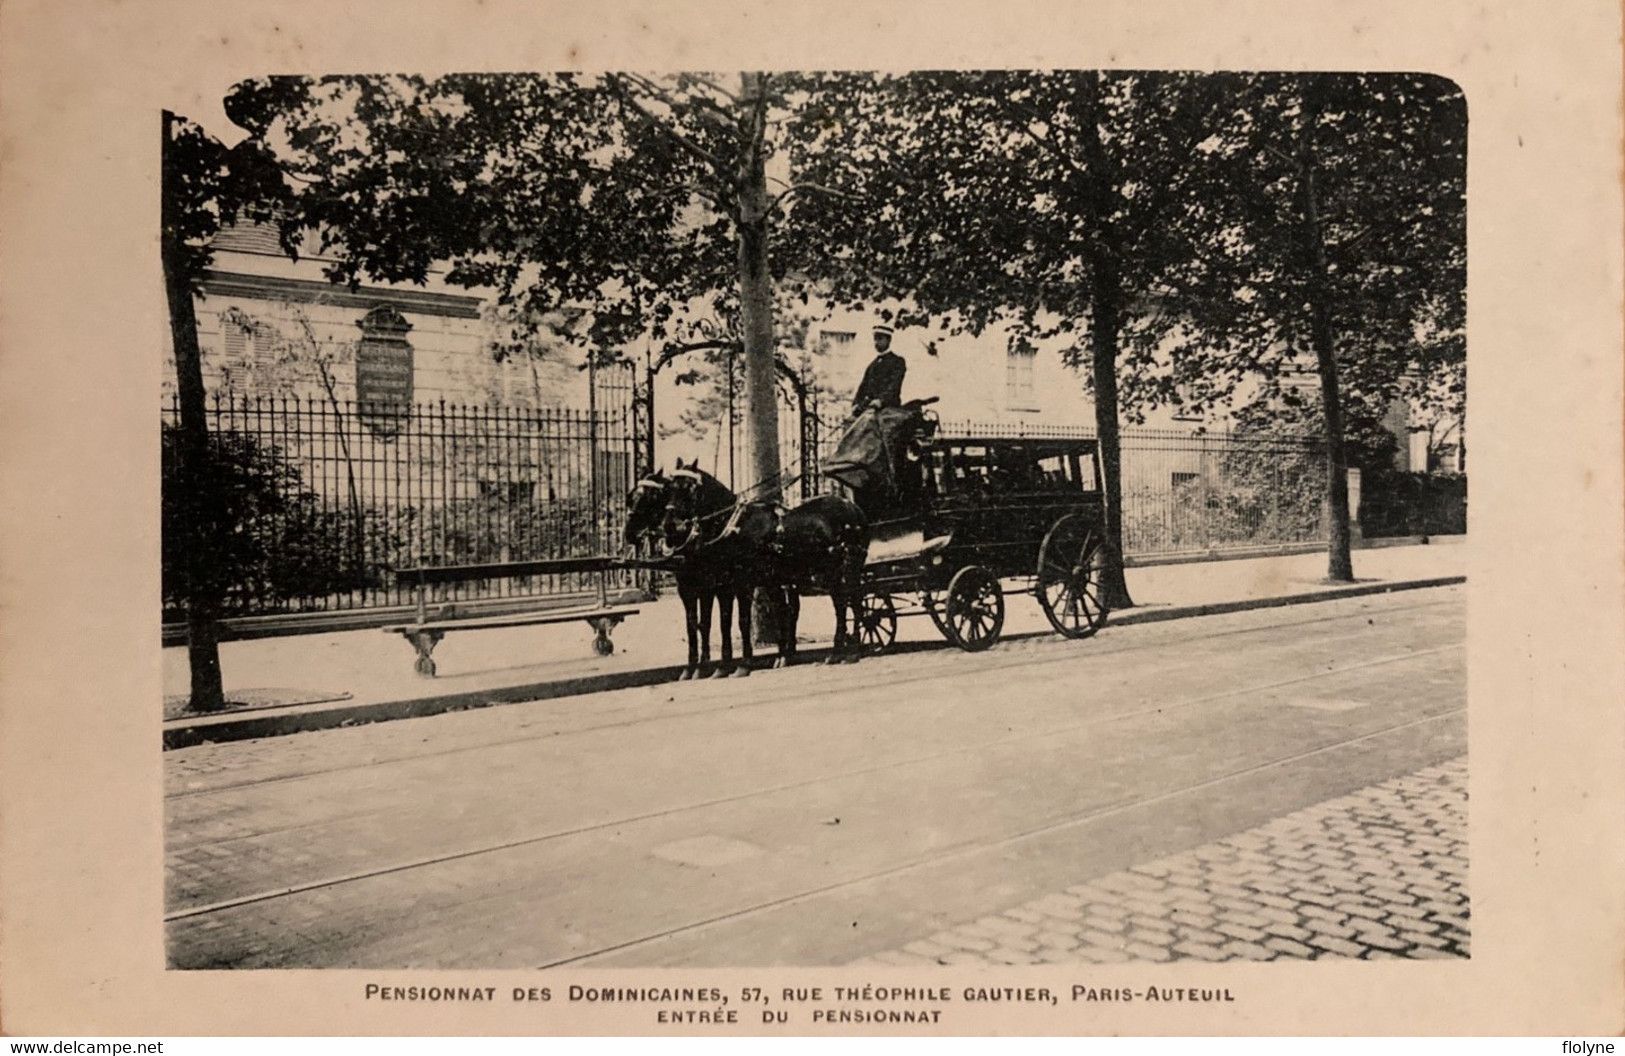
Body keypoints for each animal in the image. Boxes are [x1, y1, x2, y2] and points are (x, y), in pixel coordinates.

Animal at [620, 467, 754, 679]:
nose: (629, 533)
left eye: (652, 496)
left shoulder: (711, 589)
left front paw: (707, 665)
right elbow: (693, 625)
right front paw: (693, 666)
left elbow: (707, 623)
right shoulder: (687, 589)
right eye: (631, 496)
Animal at [656, 454, 871, 666]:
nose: (669, 525)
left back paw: (852, 650)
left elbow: (745, 619)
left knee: (853, 601)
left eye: (689, 487)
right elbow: (769, 614)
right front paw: (782, 655)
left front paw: (747, 662)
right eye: (669, 488)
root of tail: (852, 507)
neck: (735, 525)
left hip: (846, 568)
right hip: (831, 572)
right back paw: (839, 651)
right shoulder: (746, 582)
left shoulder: (744, 582)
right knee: (842, 603)